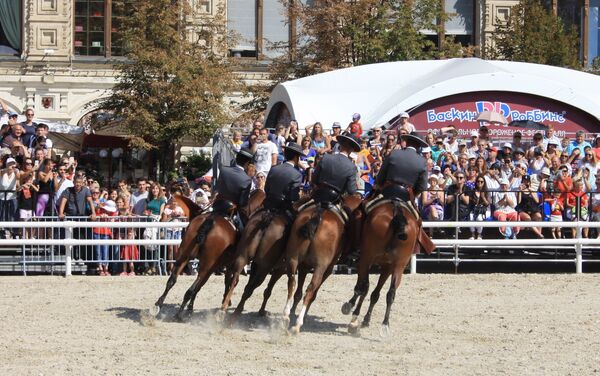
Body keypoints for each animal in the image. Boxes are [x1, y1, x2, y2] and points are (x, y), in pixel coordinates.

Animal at [155, 189, 264, 318]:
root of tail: (210, 220)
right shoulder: (226, 265)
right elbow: (225, 281)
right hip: (208, 266)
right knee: (193, 287)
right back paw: (180, 313)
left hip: (184, 257)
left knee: (172, 280)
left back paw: (159, 304)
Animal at [282, 195, 360, 334]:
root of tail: (317, 216)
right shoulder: (328, 269)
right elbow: (313, 293)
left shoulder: (303, 266)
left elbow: (298, 292)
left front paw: (292, 311)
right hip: (320, 267)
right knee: (311, 289)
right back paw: (297, 324)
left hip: (293, 259)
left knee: (292, 282)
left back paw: (286, 316)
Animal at [342, 200, 422, 334]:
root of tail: (397, 211)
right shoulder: (388, 267)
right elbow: (375, 294)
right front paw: (366, 319)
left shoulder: (365, 261)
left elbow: (361, 287)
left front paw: (351, 307)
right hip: (398, 266)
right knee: (391, 293)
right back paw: (385, 324)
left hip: (367, 258)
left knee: (364, 287)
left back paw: (355, 316)